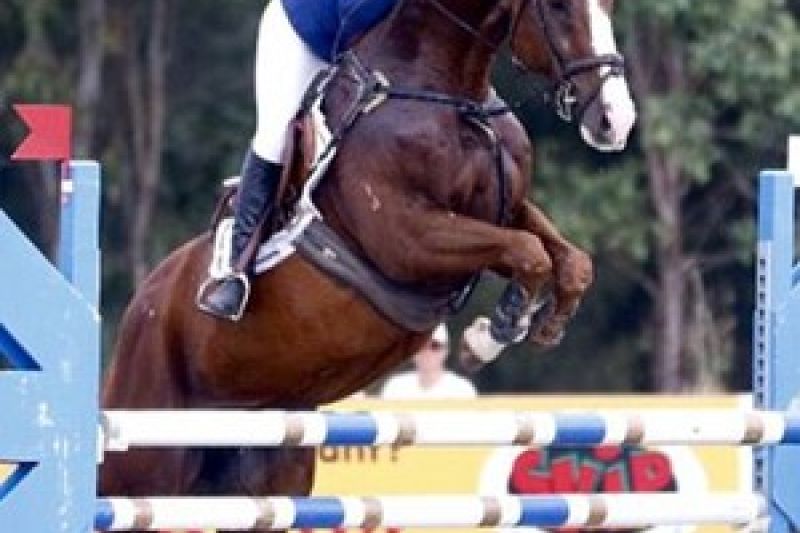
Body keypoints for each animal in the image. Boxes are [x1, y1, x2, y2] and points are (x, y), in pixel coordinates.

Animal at [99, 0, 635, 531]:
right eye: (559, 8)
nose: (616, 120)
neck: (452, 97)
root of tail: (141, 304)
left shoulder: (506, 209)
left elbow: (569, 261)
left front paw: (541, 324)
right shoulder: (409, 237)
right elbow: (528, 252)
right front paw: (490, 335)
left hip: (266, 461)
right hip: (147, 457)